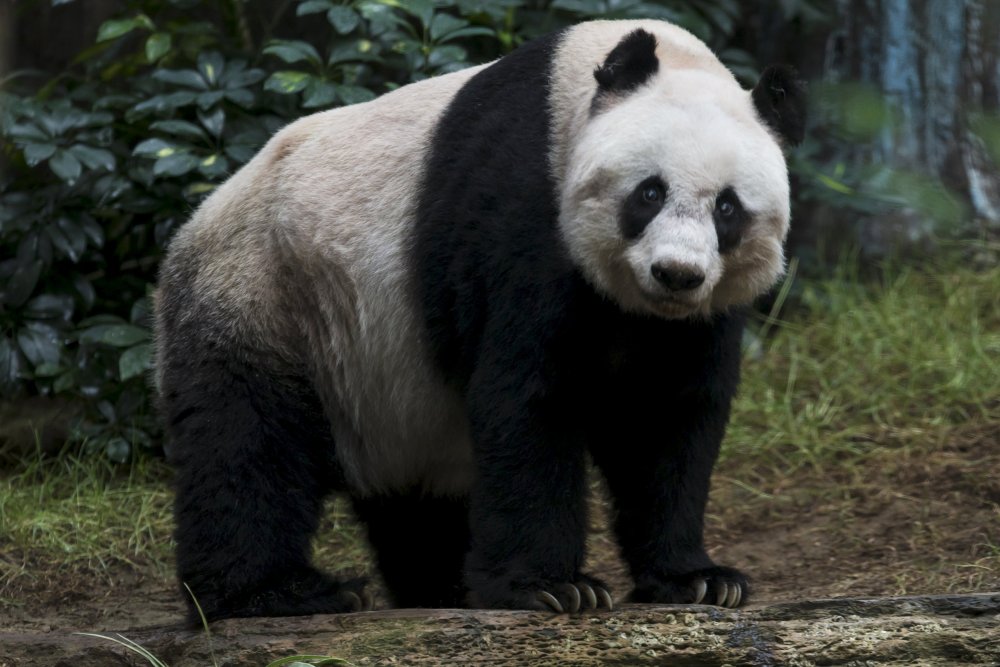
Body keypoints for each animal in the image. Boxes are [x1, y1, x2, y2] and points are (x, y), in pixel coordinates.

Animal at [154, 18, 804, 620]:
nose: (676, 273)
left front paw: (699, 579)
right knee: (247, 442)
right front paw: (552, 587)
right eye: (649, 193)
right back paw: (276, 594)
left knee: (417, 500)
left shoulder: (694, 319)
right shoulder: (522, 211)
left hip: (385, 386)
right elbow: (528, 398)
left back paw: (439, 588)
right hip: (268, 293)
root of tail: (192, 225)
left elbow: (663, 417)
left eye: (728, 208)